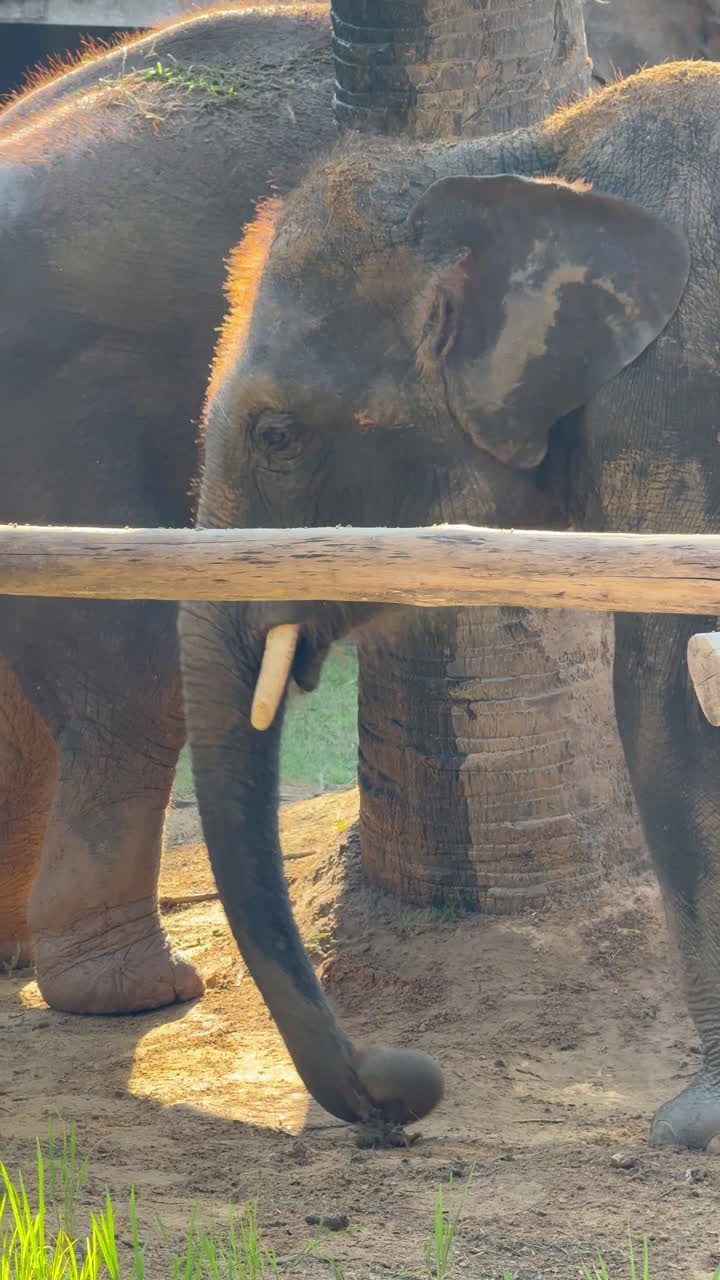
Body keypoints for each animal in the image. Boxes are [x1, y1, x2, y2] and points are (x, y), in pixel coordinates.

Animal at [180, 59, 720, 1148]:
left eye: (277, 435)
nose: (401, 1089)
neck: (525, 154)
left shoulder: (670, 400)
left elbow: (664, 699)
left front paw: (696, 1124)